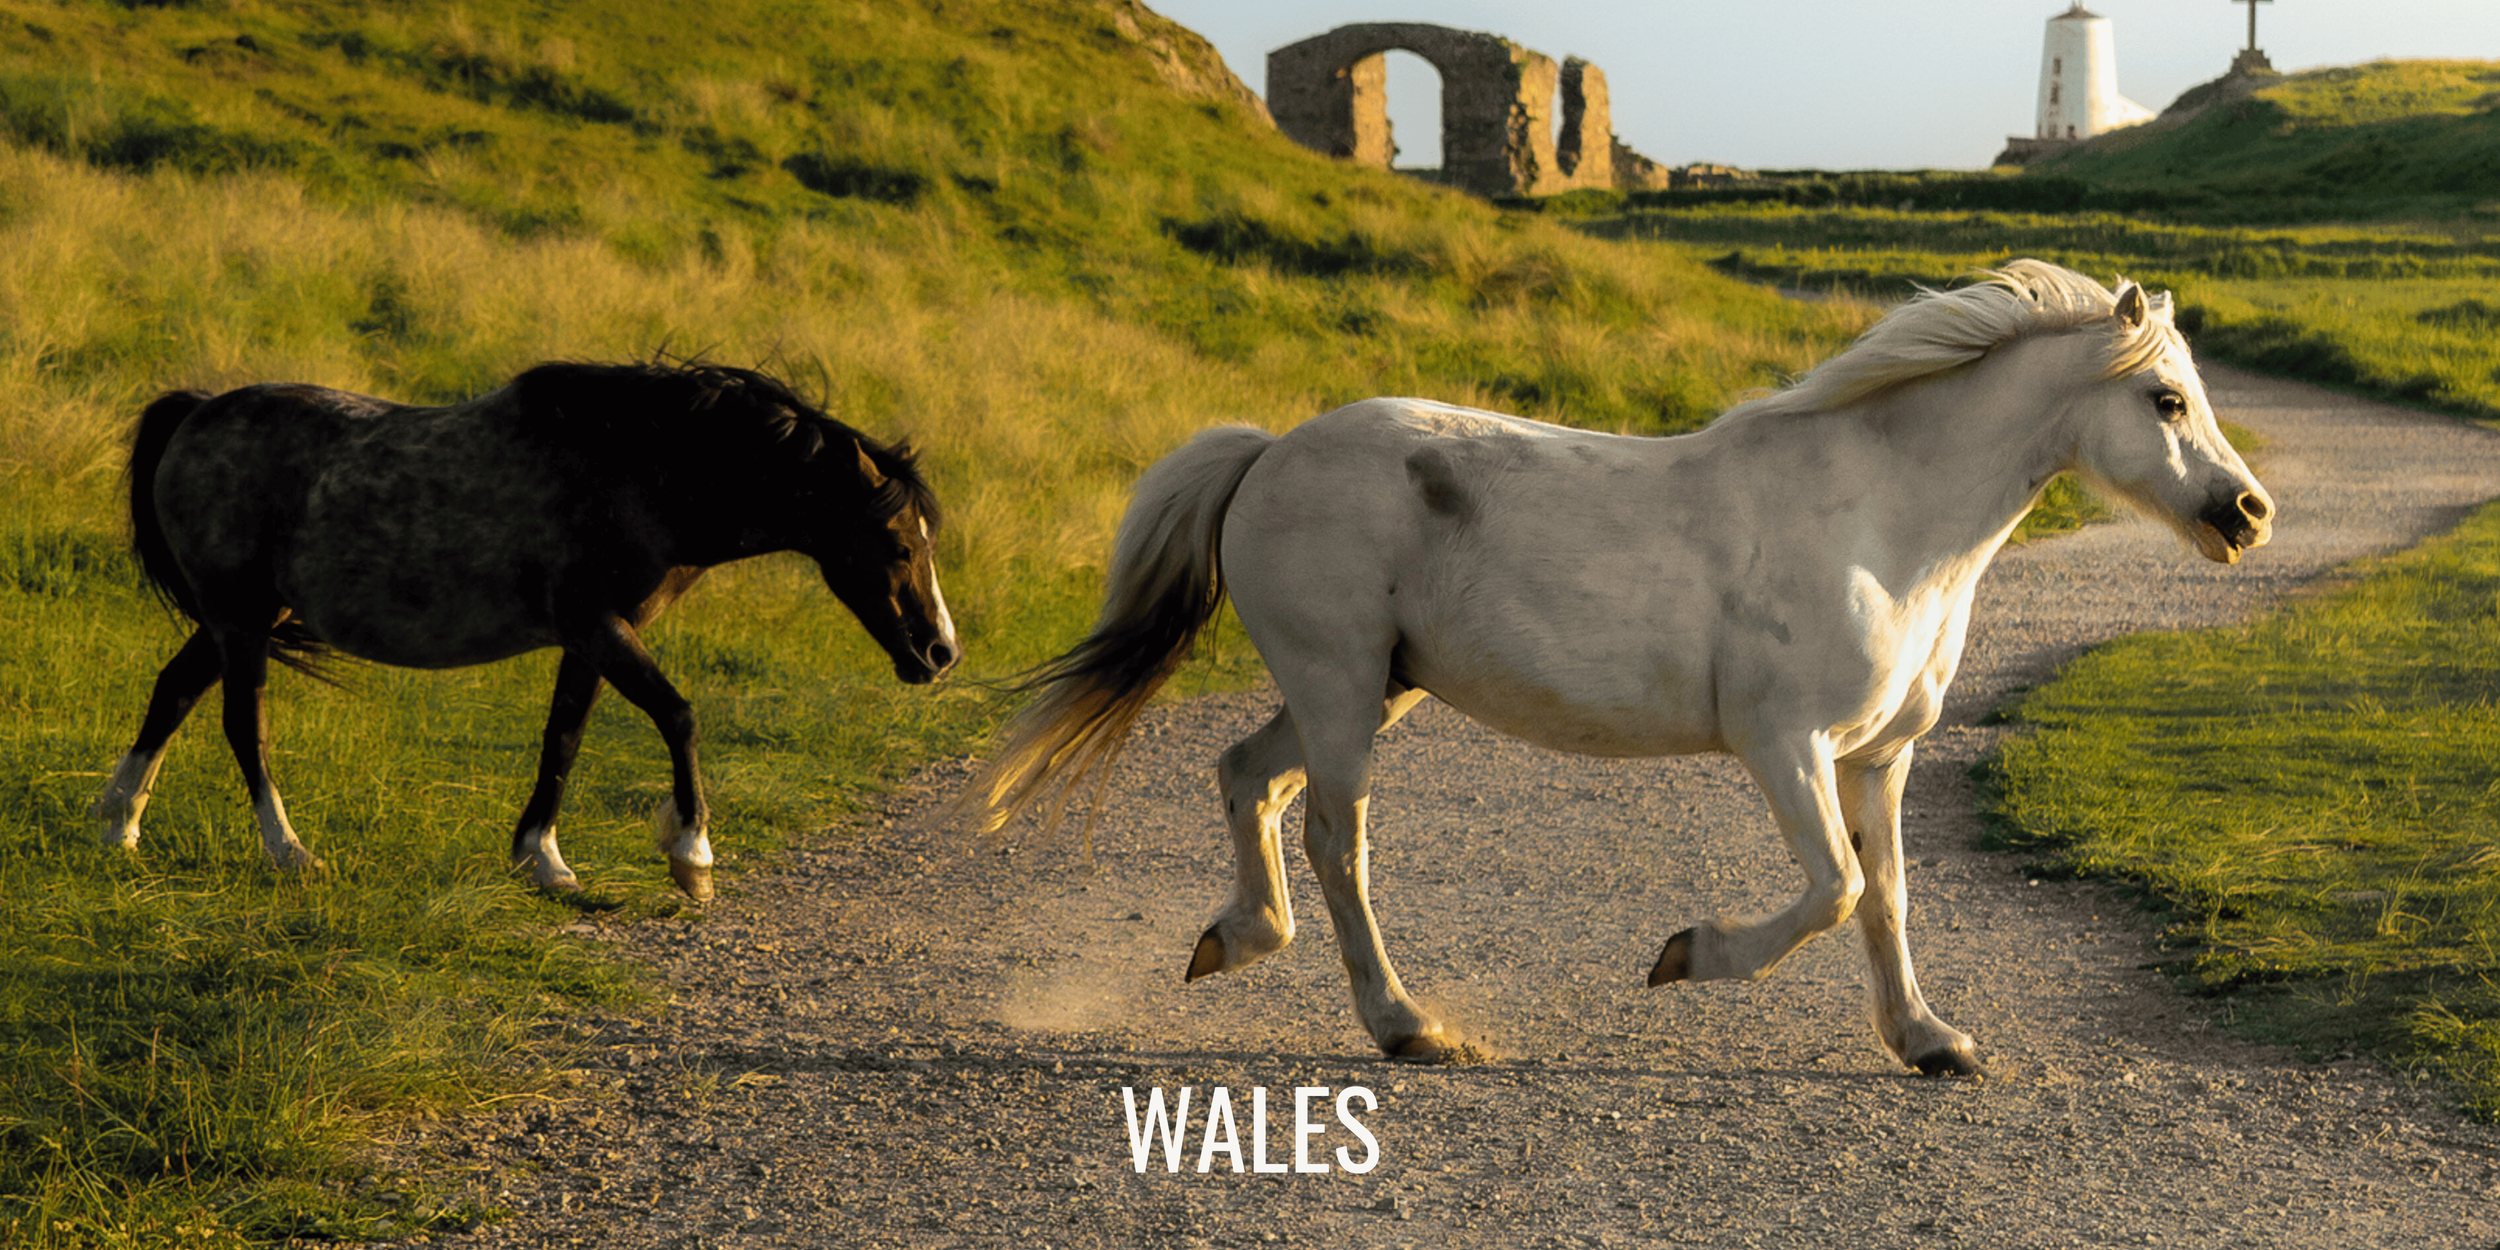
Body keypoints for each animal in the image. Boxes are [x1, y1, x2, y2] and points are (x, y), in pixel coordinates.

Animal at [93, 359, 958, 901]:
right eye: (897, 544)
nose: (939, 651)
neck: (642, 469)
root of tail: (195, 413)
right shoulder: (598, 625)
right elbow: (678, 716)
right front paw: (691, 857)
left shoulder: (589, 638)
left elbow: (563, 739)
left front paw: (542, 860)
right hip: (239, 619)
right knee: (245, 726)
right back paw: (289, 853)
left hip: (241, 618)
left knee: (172, 694)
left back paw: (120, 824)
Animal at [963, 261, 2272, 1073]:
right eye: (2165, 397)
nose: (2247, 513)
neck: (1882, 522)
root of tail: (1269, 451)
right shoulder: (1781, 745)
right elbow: (1833, 888)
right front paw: (1685, 956)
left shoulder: (1879, 757)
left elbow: (1885, 896)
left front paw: (1928, 1042)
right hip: (1339, 690)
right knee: (1337, 839)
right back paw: (1405, 1024)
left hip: (1366, 684)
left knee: (1248, 778)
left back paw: (1234, 939)